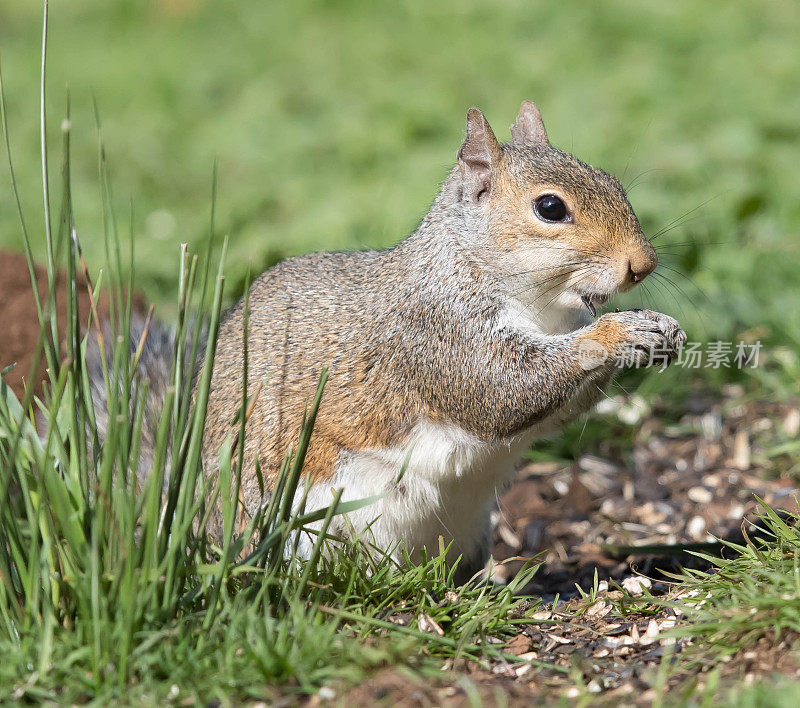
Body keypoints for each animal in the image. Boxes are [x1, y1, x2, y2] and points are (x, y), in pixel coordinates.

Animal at [92, 102, 680, 584]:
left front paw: (659, 330)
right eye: (551, 208)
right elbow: (501, 391)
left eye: (612, 181)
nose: (643, 264)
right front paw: (618, 332)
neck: (542, 306)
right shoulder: (438, 336)